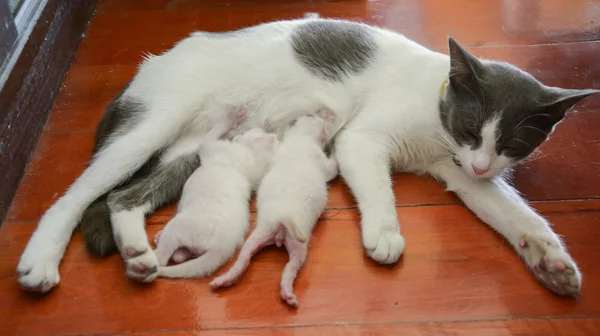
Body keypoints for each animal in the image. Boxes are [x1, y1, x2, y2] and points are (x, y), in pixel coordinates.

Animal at [154, 107, 278, 278]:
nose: (264, 126)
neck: (249, 163)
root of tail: (222, 247)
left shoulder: (212, 146)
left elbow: (213, 132)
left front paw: (231, 119)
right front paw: (235, 129)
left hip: (179, 227)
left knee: (164, 258)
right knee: (181, 256)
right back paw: (160, 238)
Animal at [211, 110, 338, 308]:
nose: (315, 112)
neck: (298, 138)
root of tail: (281, 218)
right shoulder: (322, 160)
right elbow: (333, 166)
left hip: (259, 234)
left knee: (245, 258)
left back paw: (226, 279)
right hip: (298, 243)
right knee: (292, 267)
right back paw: (288, 293)